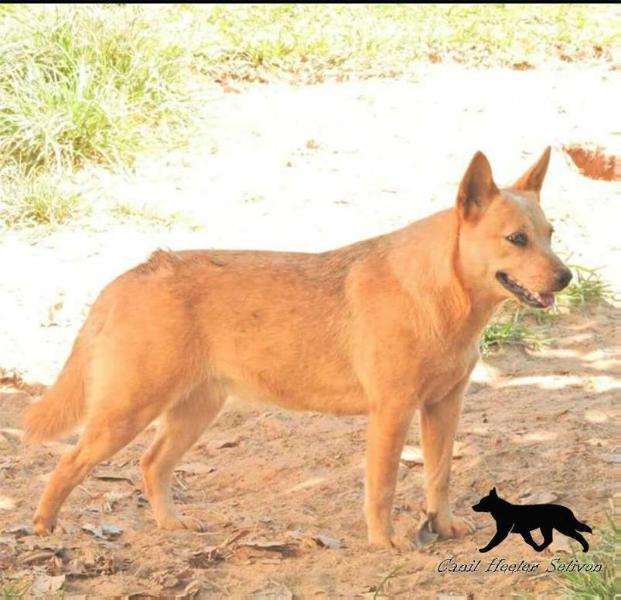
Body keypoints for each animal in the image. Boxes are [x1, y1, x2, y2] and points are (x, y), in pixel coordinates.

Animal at [24, 149, 572, 548]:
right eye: (516, 239)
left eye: (549, 234)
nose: (567, 277)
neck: (439, 296)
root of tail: (133, 274)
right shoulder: (392, 412)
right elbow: (383, 488)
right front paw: (386, 543)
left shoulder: (443, 407)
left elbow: (438, 476)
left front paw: (442, 528)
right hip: (126, 414)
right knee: (67, 465)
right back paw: (44, 530)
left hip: (193, 413)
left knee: (150, 465)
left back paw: (171, 526)